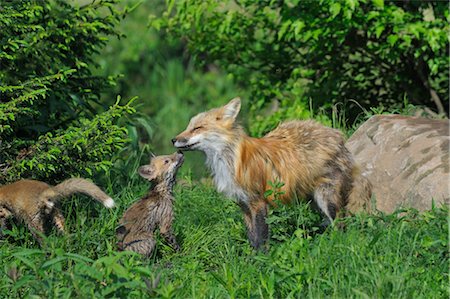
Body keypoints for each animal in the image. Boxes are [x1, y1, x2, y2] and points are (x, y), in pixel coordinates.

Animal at [172, 98, 372, 251]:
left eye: (197, 128)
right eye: (189, 127)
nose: (173, 139)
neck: (230, 161)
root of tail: (337, 135)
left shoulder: (259, 202)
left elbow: (261, 237)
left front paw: (262, 261)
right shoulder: (244, 205)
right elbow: (252, 238)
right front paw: (250, 261)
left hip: (326, 199)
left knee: (341, 225)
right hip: (313, 201)